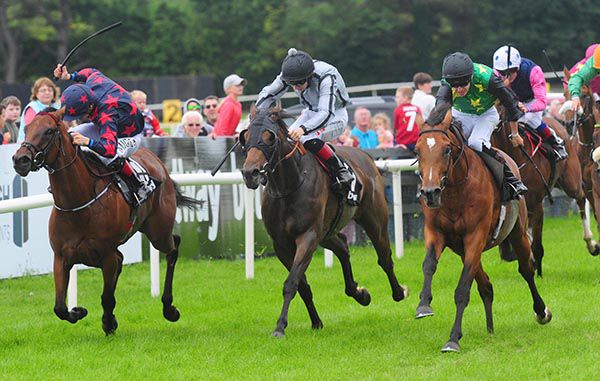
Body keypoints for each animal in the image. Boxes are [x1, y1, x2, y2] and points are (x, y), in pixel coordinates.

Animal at [11, 107, 202, 332]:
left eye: (49, 131)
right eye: (26, 128)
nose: (20, 159)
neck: (77, 203)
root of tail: (157, 161)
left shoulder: (107, 255)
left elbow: (107, 297)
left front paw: (109, 322)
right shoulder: (61, 258)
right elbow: (59, 307)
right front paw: (79, 311)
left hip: (158, 231)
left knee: (173, 248)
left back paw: (169, 308)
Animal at [239, 107, 408, 336]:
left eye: (269, 138)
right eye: (245, 137)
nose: (250, 173)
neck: (288, 186)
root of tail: (366, 156)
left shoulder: (308, 236)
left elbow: (291, 282)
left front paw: (280, 327)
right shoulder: (282, 244)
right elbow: (302, 285)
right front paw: (315, 322)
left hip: (374, 220)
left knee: (384, 258)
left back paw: (399, 292)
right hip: (327, 232)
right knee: (343, 247)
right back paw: (359, 293)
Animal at [414, 108, 552, 352]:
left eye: (447, 149)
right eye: (417, 150)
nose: (430, 192)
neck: (455, 192)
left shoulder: (475, 236)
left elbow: (462, 290)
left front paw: (453, 339)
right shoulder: (436, 232)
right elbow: (429, 264)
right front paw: (423, 305)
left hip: (516, 232)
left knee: (526, 269)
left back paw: (541, 311)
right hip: (463, 249)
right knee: (486, 285)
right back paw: (490, 328)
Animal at [490, 105, 592, 274]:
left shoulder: (537, 204)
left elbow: (537, 247)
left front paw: (537, 272)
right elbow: (511, 248)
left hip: (571, 182)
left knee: (581, 198)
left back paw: (591, 243)